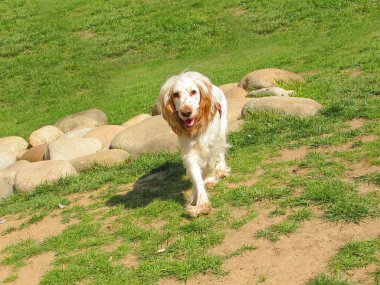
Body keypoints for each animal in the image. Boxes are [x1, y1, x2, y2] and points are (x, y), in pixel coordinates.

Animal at [158, 71, 229, 215]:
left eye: (193, 91)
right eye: (175, 94)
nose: (186, 112)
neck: (195, 129)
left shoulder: (212, 146)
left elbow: (211, 163)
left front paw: (210, 178)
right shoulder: (189, 154)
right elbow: (196, 177)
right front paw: (200, 202)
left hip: (222, 129)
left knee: (221, 153)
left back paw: (221, 169)